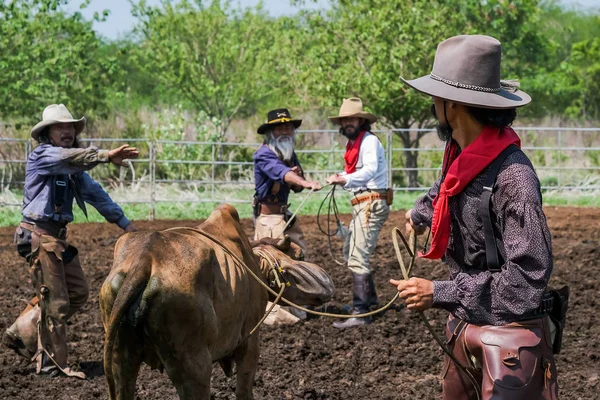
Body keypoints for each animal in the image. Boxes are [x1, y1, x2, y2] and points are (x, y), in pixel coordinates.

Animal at [98, 205, 332, 398]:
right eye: (300, 255)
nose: (327, 283)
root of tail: (145, 260)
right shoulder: (249, 341)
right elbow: (244, 390)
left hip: (121, 360)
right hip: (194, 366)